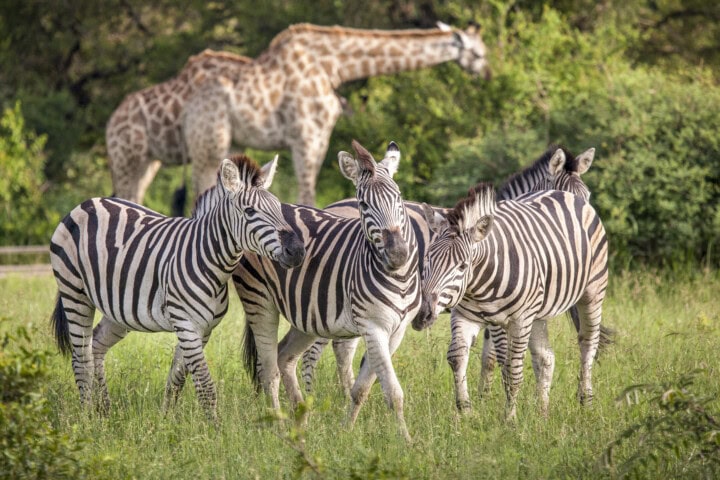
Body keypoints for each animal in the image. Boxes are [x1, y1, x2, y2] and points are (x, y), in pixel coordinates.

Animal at [49, 154, 305, 422]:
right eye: (250, 211)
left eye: (279, 208)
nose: (297, 251)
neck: (207, 259)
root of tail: (87, 203)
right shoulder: (186, 323)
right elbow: (206, 385)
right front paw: (214, 427)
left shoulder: (203, 328)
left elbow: (179, 376)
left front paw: (166, 419)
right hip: (74, 293)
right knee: (82, 359)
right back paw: (86, 417)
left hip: (118, 308)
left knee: (96, 345)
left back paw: (105, 411)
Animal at [235, 140, 420, 441]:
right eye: (363, 204)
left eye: (399, 197)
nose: (398, 255)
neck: (399, 278)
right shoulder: (374, 326)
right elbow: (393, 392)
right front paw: (407, 442)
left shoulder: (396, 331)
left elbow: (362, 388)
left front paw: (347, 431)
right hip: (259, 300)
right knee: (268, 367)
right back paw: (281, 426)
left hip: (308, 315)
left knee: (284, 356)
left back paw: (302, 418)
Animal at [299, 145, 606, 396]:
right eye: (566, 197)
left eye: (588, 195)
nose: (583, 244)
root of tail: (330, 206)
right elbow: (497, 356)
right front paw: (488, 398)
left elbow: (487, 355)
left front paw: (483, 395)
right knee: (314, 351)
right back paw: (313, 399)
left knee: (341, 348)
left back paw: (344, 393)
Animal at [413, 183, 608, 419]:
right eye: (427, 260)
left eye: (462, 266)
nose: (422, 316)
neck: (477, 283)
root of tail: (563, 193)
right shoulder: (466, 315)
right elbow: (458, 356)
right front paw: (466, 411)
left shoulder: (517, 320)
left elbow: (512, 369)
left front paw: (509, 419)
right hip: (537, 314)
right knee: (546, 357)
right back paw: (541, 413)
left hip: (592, 293)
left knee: (587, 344)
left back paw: (585, 402)